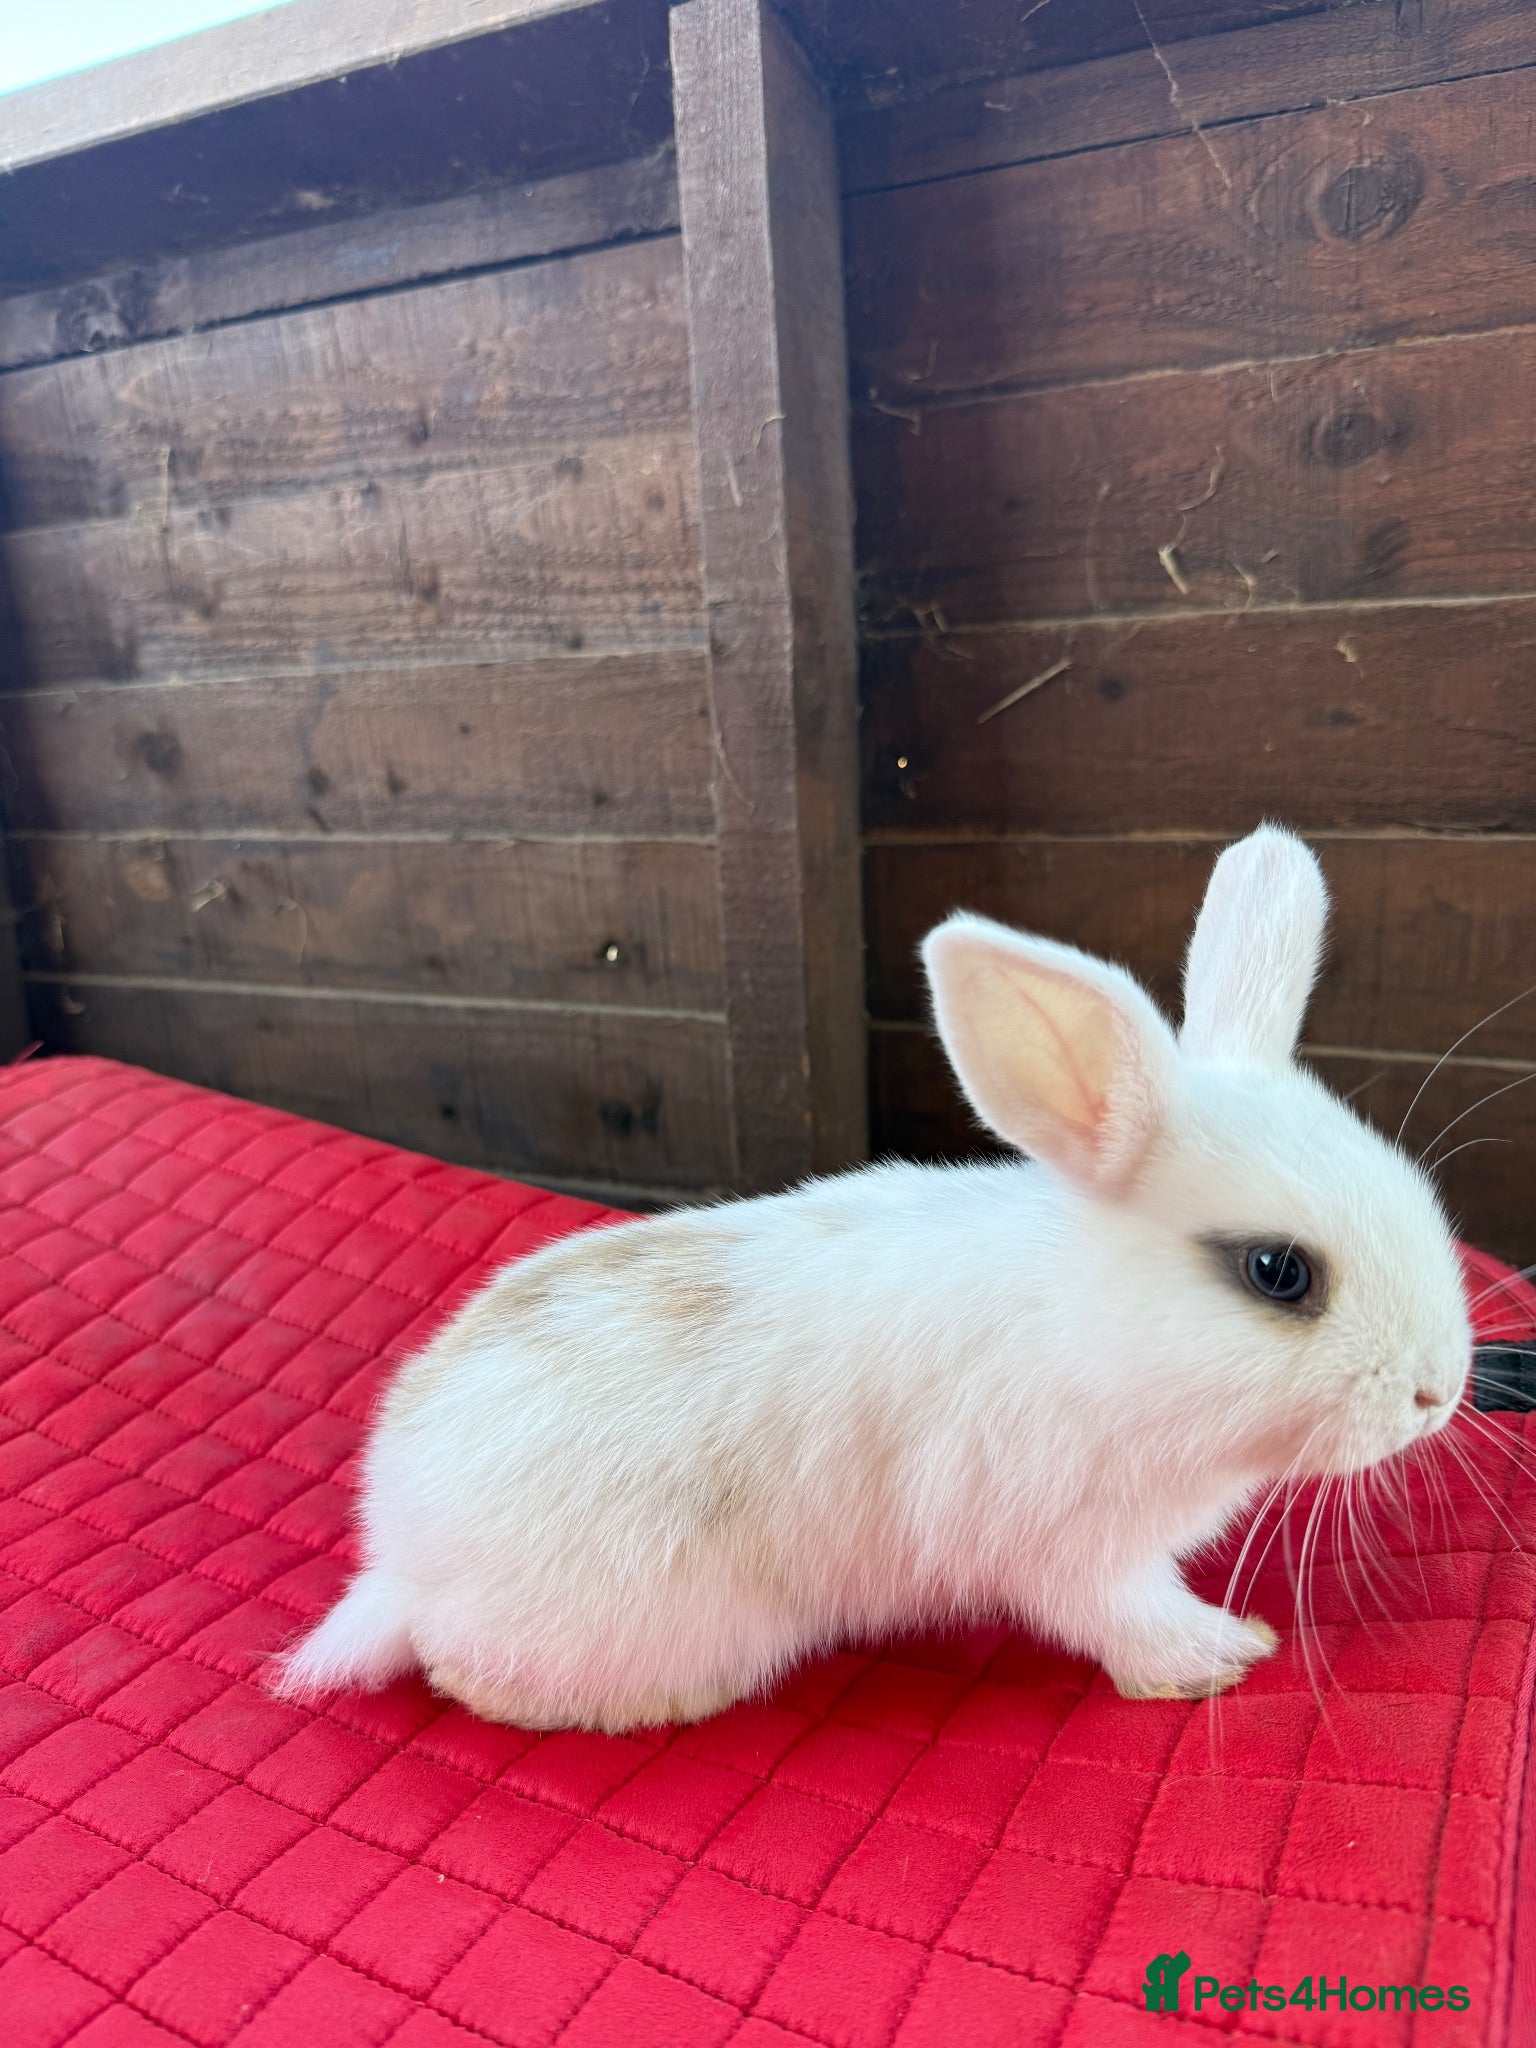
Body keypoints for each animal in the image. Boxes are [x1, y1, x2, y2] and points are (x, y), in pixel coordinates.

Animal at [277, 826, 1471, 1730]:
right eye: (1278, 1271)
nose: (1439, 1391)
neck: (1095, 1329)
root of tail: (399, 1559)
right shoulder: (1075, 1548)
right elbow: (1120, 1616)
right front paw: (1219, 1656)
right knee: (458, 1668)